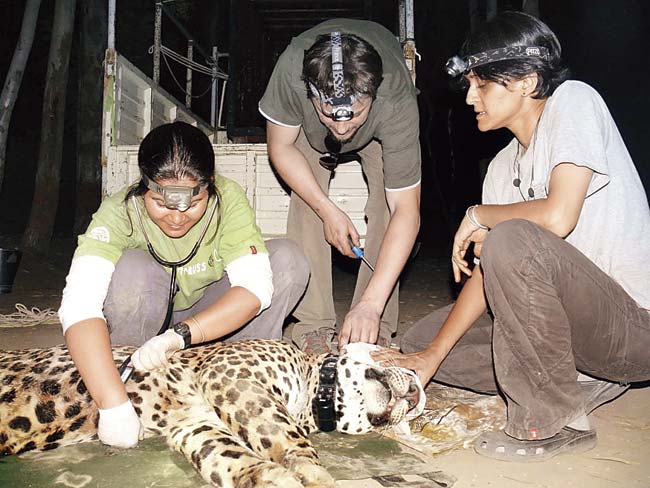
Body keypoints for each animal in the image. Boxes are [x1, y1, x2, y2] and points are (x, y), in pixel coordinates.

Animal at [0, 339, 424, 488]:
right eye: (396, 355)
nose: (418, 392)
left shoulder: (194, 425)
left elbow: (226, 455)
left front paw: (269, 478)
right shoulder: (230, 373)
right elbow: (286, 435)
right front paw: (314, 474)